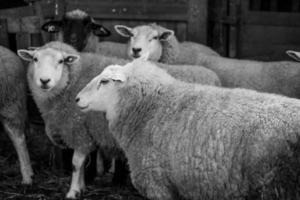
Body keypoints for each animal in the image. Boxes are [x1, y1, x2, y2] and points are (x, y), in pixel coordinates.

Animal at [18, 40, 220, 198]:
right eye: (35, 59)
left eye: (60, 61)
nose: (44, 81)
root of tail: (214, 76)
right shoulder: (87, 133)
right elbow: (82, 164)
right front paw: (81, 186)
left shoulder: (79, 131)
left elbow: (76, 164)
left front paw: (73, 191)